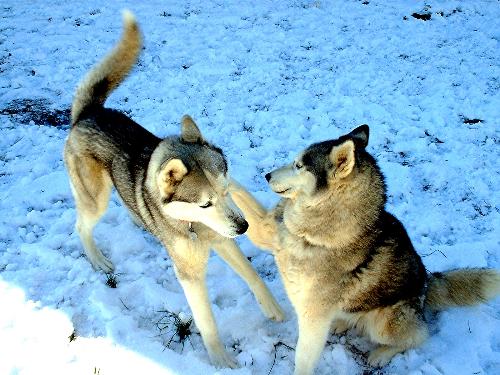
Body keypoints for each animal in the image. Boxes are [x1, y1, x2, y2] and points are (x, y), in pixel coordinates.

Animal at [63, 12, 284, 370]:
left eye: (225, 192)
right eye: (205, 204)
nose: (244, 227)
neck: (194, 226)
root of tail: (89, 113)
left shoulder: (224, 237)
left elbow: (252, 274)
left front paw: (272, 307)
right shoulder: (190, 273)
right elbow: (207, 321)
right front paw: (220, 361)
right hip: (94, 199)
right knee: (82, 226)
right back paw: (98, 260)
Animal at [229, 125, 500, 374]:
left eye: (299, 165)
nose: (267, 175)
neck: (315, 233)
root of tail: (426, 284)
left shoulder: (313, 317)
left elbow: (304, 358)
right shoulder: (267, 231)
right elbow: (240, 195)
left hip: (385, 322)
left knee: (417, 337)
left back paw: (381, 353)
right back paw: (340, 323)